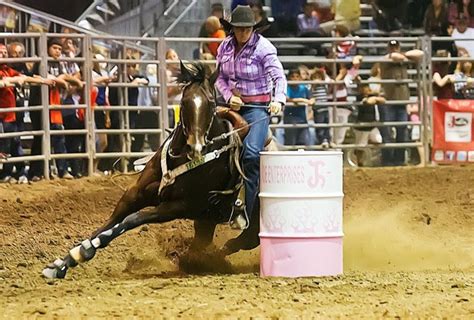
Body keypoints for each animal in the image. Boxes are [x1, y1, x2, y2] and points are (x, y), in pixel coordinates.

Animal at [42, 62, 262, 278]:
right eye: (184, 102)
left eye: (211, 103)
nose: (196, 147)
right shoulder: (136, 193)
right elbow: (111, 221)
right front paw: (65, 261)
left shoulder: (179, 206)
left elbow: (131, 220)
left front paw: (85, 249)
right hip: (206, 218)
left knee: (240, 242)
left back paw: (198, 261)